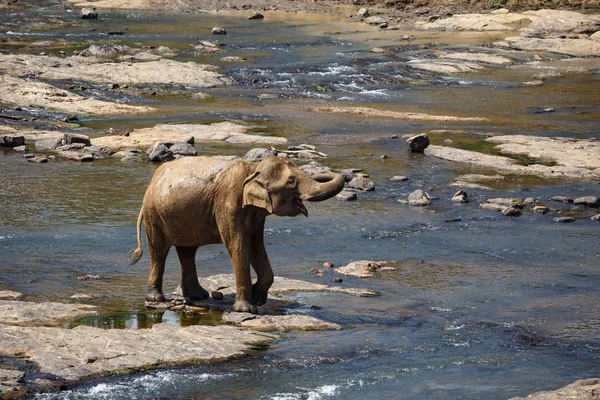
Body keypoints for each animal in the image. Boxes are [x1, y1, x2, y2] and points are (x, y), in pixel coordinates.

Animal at [129, 155, 344, 314]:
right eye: (291, 181)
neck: (253, 169)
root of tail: (152, 182)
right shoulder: (228, 202)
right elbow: (238, 245)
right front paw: (247, 309)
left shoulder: (256, 214)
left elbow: (257, 246)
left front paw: (258, 298)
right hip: (153, 214)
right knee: (159, 251)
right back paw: (156, 298)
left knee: (187, 251)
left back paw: (199, 296)